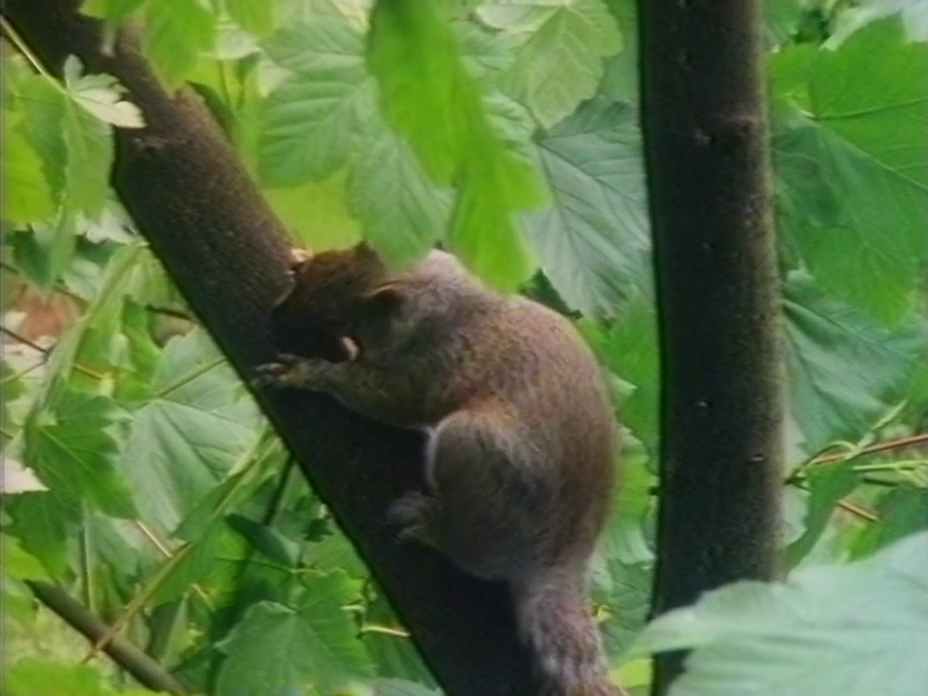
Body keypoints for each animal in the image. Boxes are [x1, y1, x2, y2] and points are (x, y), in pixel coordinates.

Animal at [254, 242, 623, 696]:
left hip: (470, 453)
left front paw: (306, 374)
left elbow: (378, 396)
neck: (435, 297)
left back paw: (430, 528)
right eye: (302, 276)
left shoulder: (424, 372)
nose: (277, 316)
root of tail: (559, 559)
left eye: (335, 321)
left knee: (474, 554)